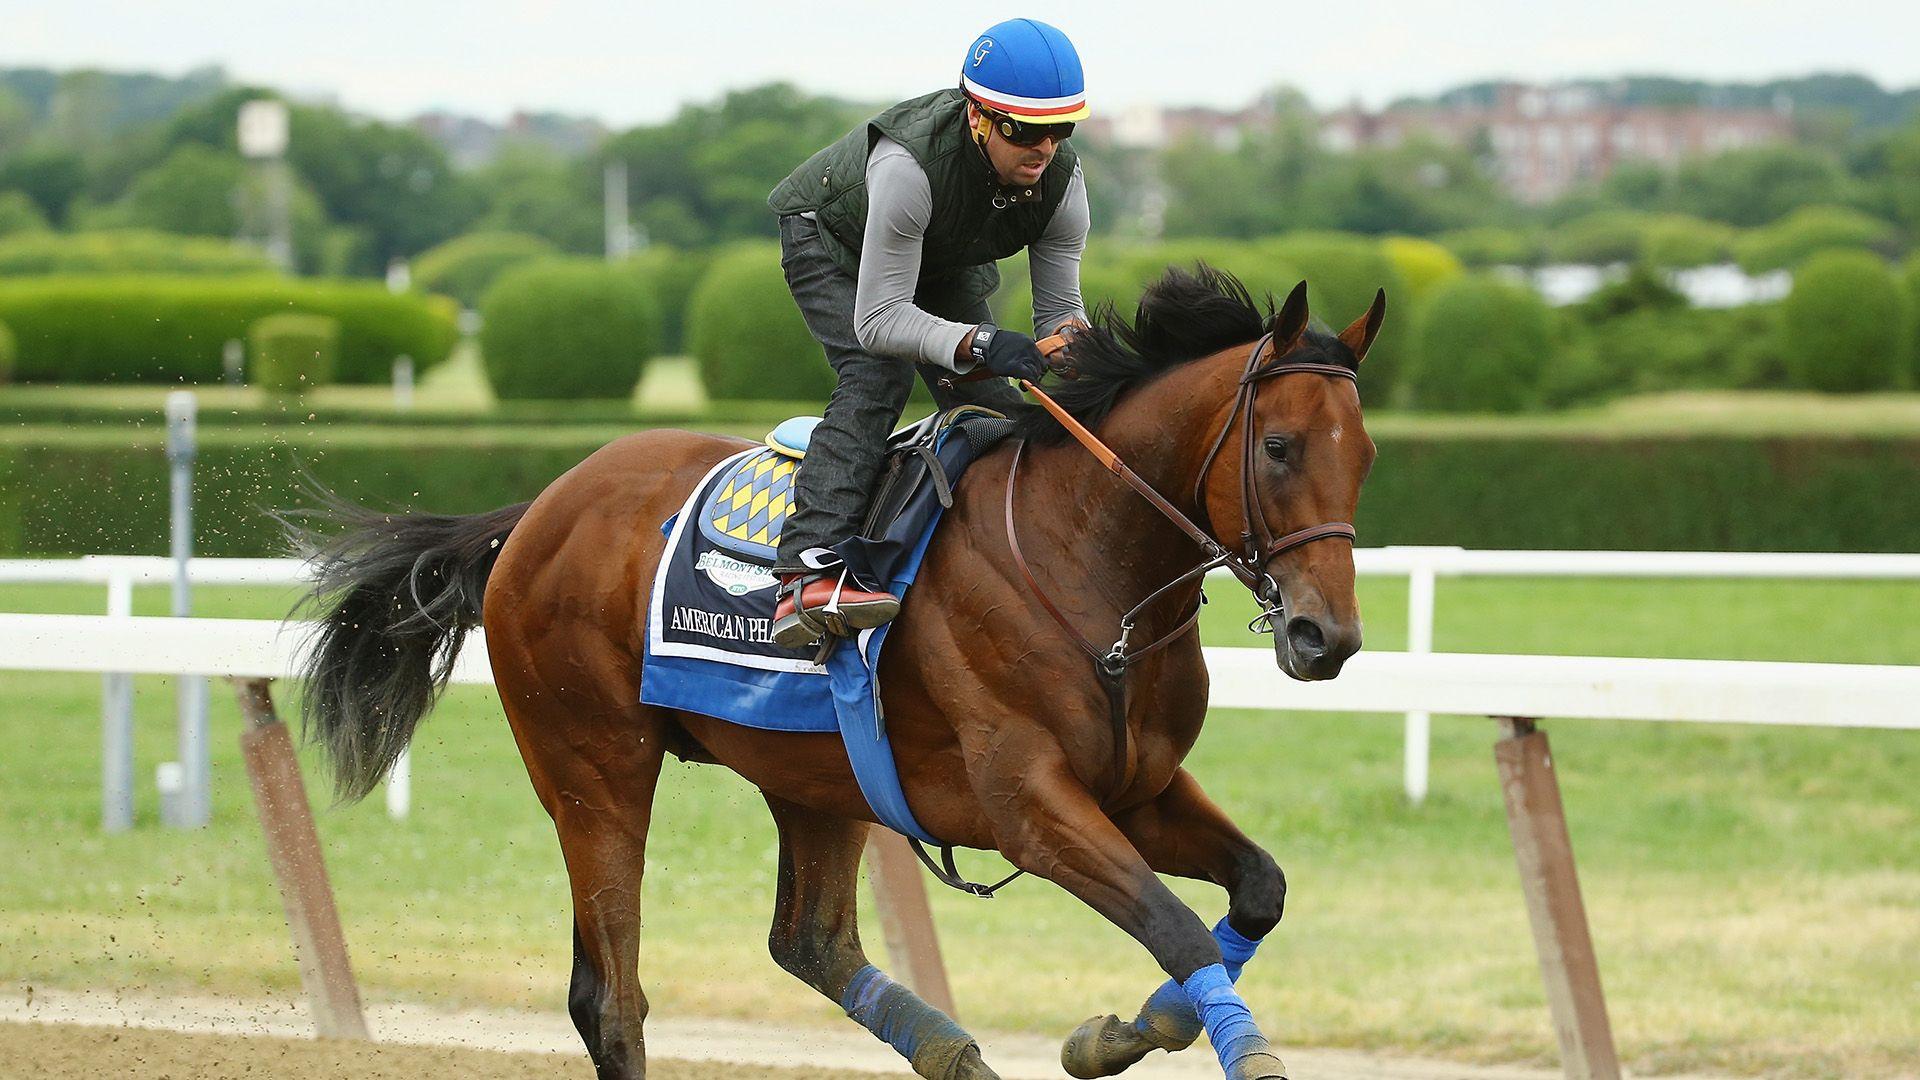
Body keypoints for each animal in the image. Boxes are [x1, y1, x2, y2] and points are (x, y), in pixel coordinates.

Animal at [291, 267, 1382, 1076]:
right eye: (1280, 447)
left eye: (1366, 456)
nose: (1325, 637)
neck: (1087, 566)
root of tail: (534, 511)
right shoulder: (1026, 804)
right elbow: (1178, 929)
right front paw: (1190, 1045)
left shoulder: (1138, 787)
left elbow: (1257, 890)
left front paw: (1117, 1034)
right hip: (593, 768)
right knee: (611, 996)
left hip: (817, 774)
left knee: (808, 941)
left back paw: (952, 1054)